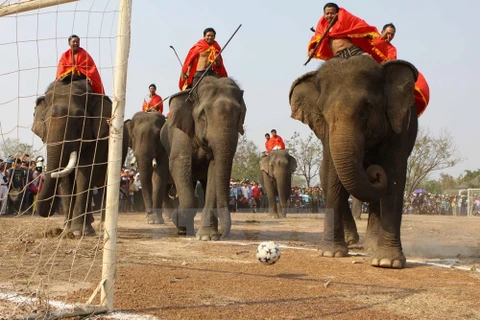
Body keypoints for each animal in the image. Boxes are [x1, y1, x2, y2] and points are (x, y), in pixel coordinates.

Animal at [31, 78, 127, 238]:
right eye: (44, 121)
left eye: (79, 121)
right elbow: (65, 178)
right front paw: (66, 230)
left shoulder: (96, 138)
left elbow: (84, 172)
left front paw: (78, 232)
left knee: (106, 185)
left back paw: (102, 226)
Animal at [160, 75, 246, 240]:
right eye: (203, 115)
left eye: (239, 114)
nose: (223, 234)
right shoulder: (181, 134)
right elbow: (179, 164)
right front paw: (177, 220)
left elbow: (214, 169)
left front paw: (207, 237)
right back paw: (184, 230)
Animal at [290, 56, 418, 268]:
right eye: (323, 114)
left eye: (366, 108)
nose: (374, 173)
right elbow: (333, 174)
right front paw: (330, 253)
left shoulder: (399, 126)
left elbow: (394, 174)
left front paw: (387, 262)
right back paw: (351, 241)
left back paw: (371, 246)